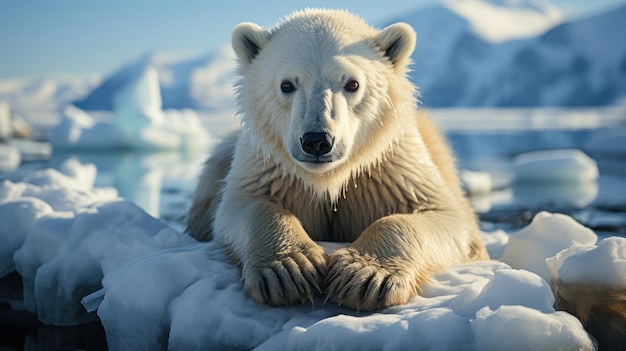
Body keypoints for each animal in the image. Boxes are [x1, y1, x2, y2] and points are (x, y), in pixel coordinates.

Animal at [185, 7, 488, 310]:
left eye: (352, 83)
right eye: (287, 84)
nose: (317, 141)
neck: (329, 178)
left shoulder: (390, 168)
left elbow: (443, 215)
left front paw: (365, 275)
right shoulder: (269, 167)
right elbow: (244, 205)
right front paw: (289, 270)